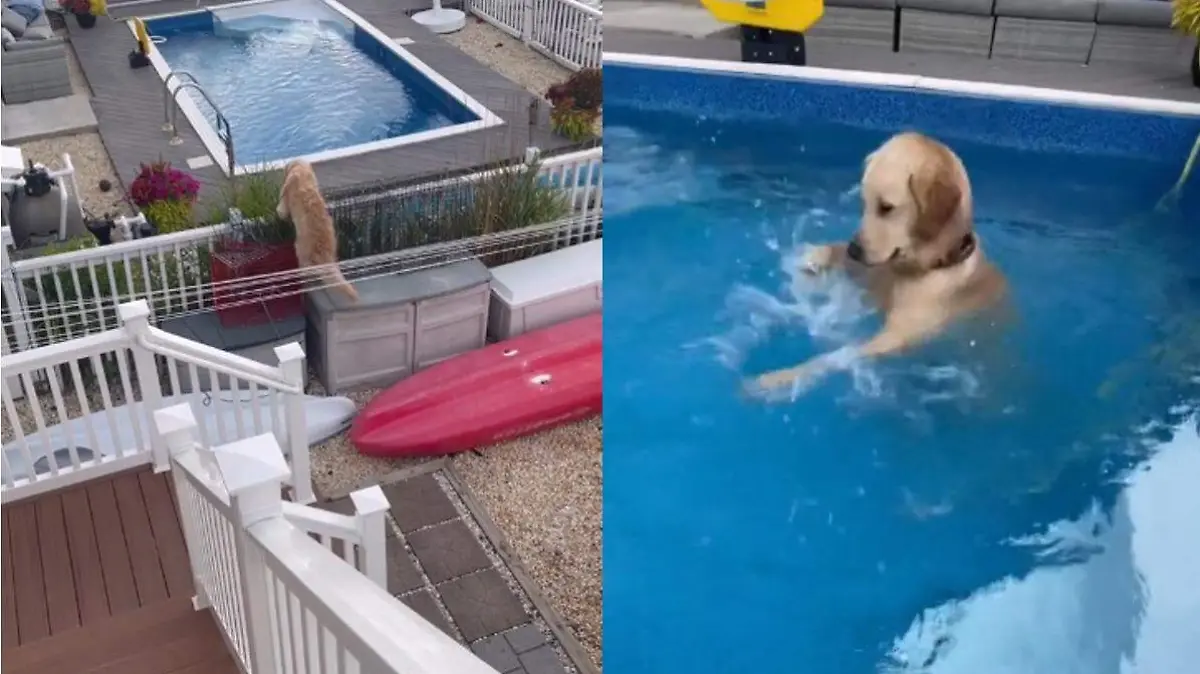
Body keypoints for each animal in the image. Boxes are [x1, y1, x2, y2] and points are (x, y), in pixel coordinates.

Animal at [753, 131, 1008, 390]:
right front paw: (814, 257)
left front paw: (780, 378)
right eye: (864, 203)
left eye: (886, 208)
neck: (927, 266)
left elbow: (838, 356)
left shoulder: (894, 337)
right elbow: (837, 253)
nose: (854, 250)